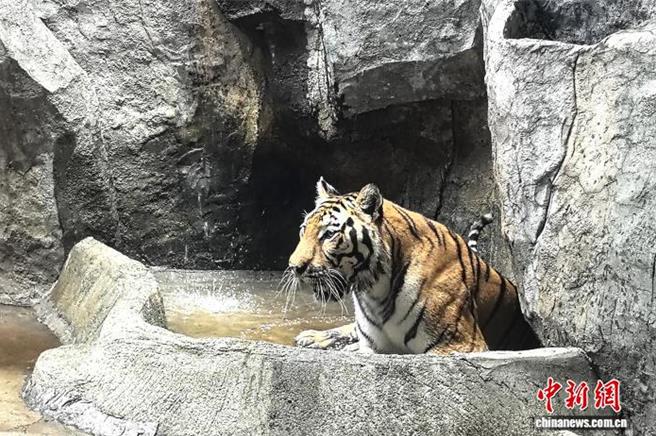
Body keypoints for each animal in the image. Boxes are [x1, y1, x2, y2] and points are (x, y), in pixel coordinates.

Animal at [284, 177, 539, 354]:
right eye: (303, 229)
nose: (294, 267)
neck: (375, 291)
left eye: (328, 235)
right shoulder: (373, 345)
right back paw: (312, 336)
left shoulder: (460, 345)